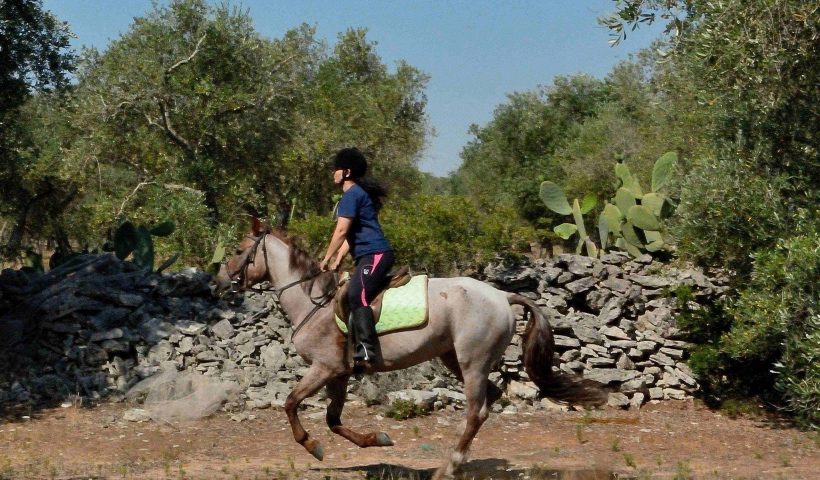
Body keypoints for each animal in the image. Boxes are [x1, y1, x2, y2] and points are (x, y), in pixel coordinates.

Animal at [215, 219, 604, 478]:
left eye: (237, 251)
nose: (219, 283)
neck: (313, 301)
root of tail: (501, 295)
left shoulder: (323, 368)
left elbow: (291, 404)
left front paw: (314, 447)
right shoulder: (338, 373)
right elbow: (333, 420)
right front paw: (379, 440)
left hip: (472, 362)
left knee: (476, 411)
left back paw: (449, 466)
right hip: (453, 358)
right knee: (489, 400)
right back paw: (460, 461)